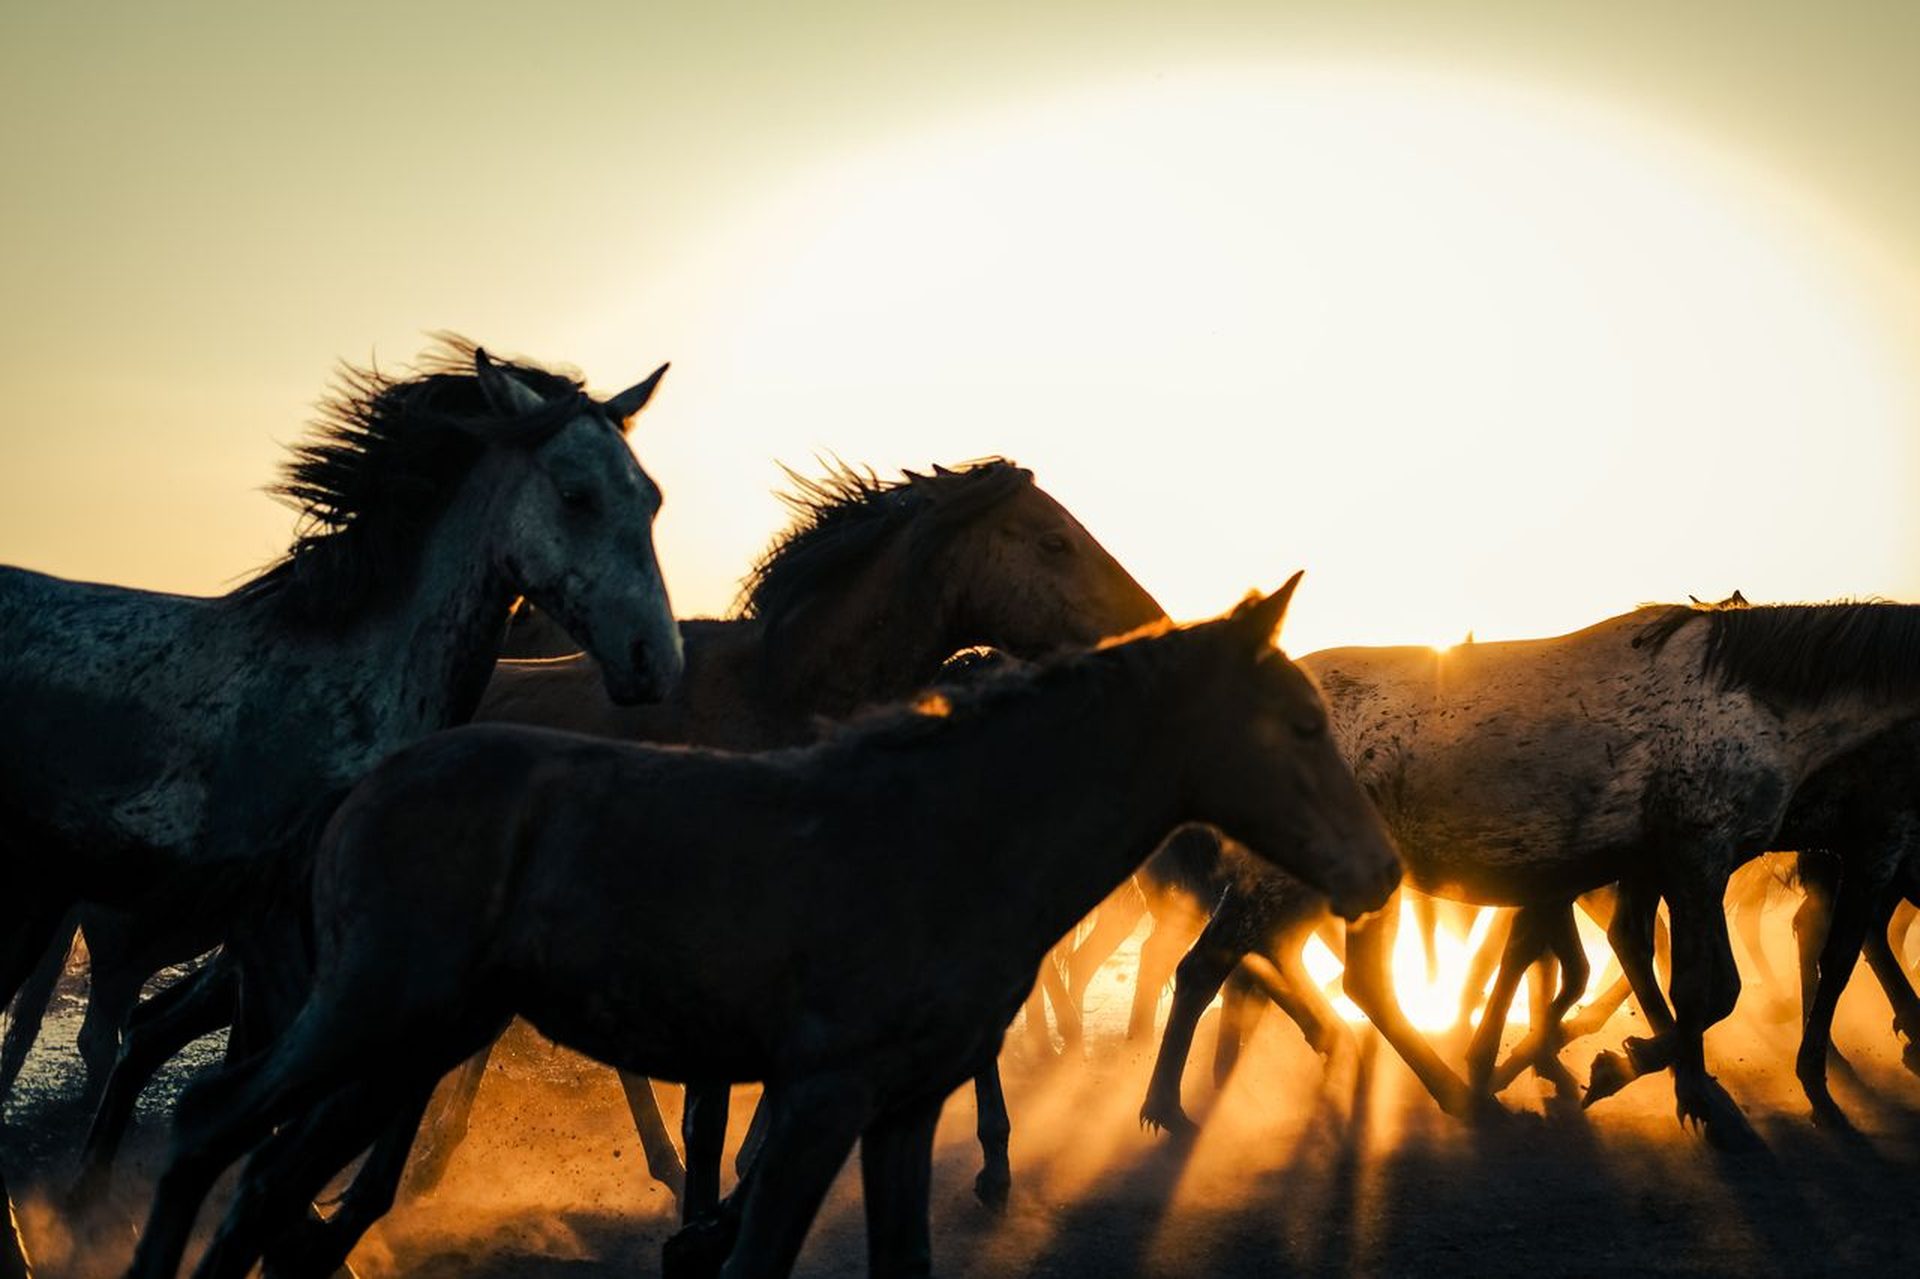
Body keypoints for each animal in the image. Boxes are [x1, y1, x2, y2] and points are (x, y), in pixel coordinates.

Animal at [0, 337, 682, 1265]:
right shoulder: (273, 940)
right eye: (576, 495)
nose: (656, 661)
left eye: (651, 497)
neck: (346, 684)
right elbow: (270, 1130)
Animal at [119, 579, 1403, 1279]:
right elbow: (750, 1248)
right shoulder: (817, 1098)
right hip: (369, 1016)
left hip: (410, 1042)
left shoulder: (897, 1110)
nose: (1381, 871)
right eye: (1299, 723)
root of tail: (357, 788)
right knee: (208, 1127)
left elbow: (899, 1256)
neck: (951, 830)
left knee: (265, 1178)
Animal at [1140, 599, 1920, 1151]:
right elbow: (1708, 987)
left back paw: (1454, 1089)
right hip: (1285, 881)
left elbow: (1648, 970)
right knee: (1208, 965)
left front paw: (1659, 1078)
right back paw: (1165, 1108)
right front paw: (1626, 1070)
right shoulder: (1700, 853)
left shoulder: (1657, 863)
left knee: (1355, 981)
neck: (1757, 699)